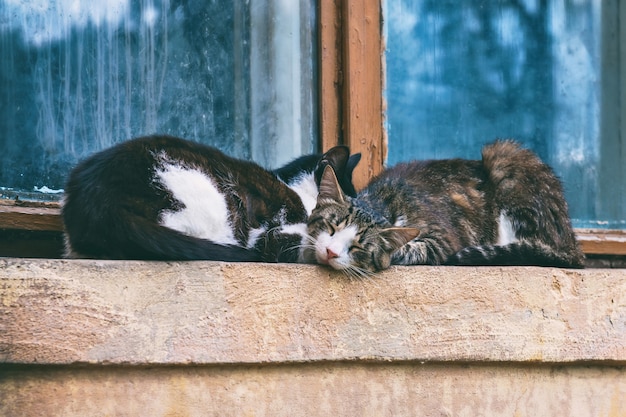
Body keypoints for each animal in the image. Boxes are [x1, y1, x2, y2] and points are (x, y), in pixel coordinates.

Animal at [304, 141, 584, 276]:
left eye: (358, 246)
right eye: (330, 226)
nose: (331, 252)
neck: (381, 203)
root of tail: (573, 241)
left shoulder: (444, 240)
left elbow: (410, 248)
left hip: (506, 156)